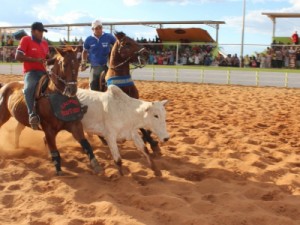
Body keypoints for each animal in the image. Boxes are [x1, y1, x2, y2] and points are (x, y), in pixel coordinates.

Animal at [0, 46, 101, 176]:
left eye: (78, 63)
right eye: (64, 64)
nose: (72, 90)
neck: (54, 94)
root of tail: (5, 86)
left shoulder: (74, 124)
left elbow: (86, 144)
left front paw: (96, 165)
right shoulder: (48, 129)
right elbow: (54, 150)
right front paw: (59, 170)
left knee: (17, 131)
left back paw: (17, 147)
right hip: (3, 115)